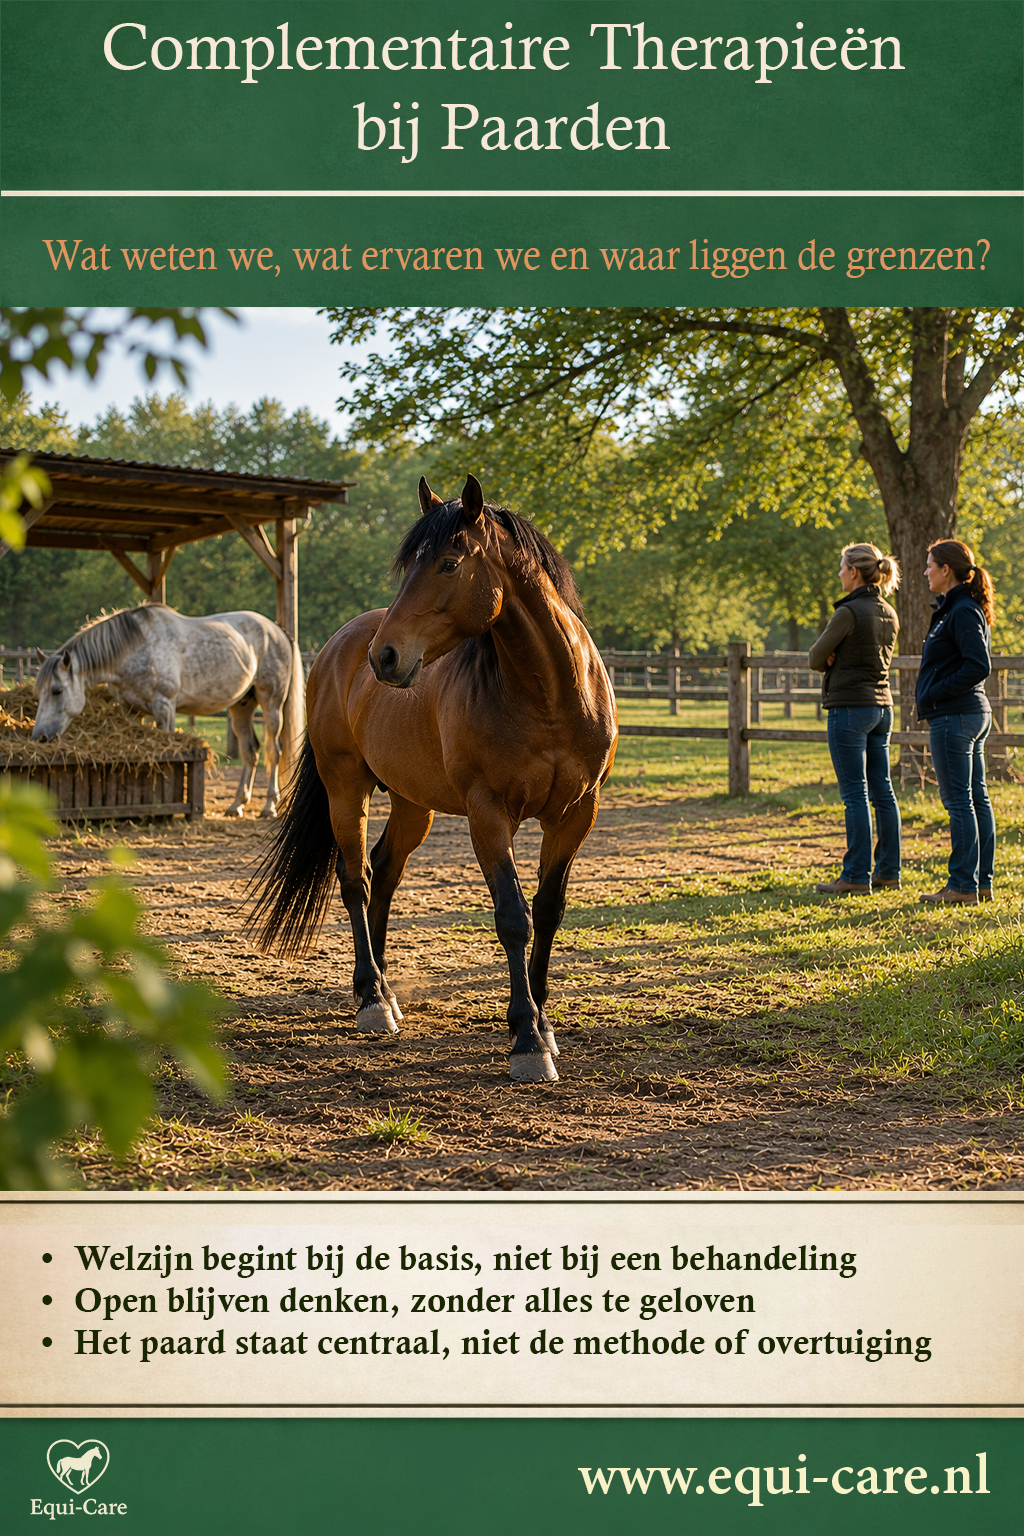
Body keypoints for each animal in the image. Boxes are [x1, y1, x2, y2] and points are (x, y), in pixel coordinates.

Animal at [31, 605, 300, 818]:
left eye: (57, 691)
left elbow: (170, 752)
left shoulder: (165, 706)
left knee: (274, 751)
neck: (135, 649)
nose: (39, 737)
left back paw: (269, 806)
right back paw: (236, 805)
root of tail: (278, 631)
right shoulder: (131, 710)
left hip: (271, 702)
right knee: (250, 751)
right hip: (241, 706)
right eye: (38, 691)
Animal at [247, 474, 617, 1082]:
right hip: (345, 790)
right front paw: (526, 1040)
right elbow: (513, 917)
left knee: (383, 872)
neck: (550, 697)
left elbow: (548, 910)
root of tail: (338, 646)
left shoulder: (574, 814)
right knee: (356, 880)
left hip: (411, 803)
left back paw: (384, 990)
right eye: (409, 566)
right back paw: (372, 999)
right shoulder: (488, 814)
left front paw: (543, 1024)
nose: (386, 656)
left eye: (448, 563)